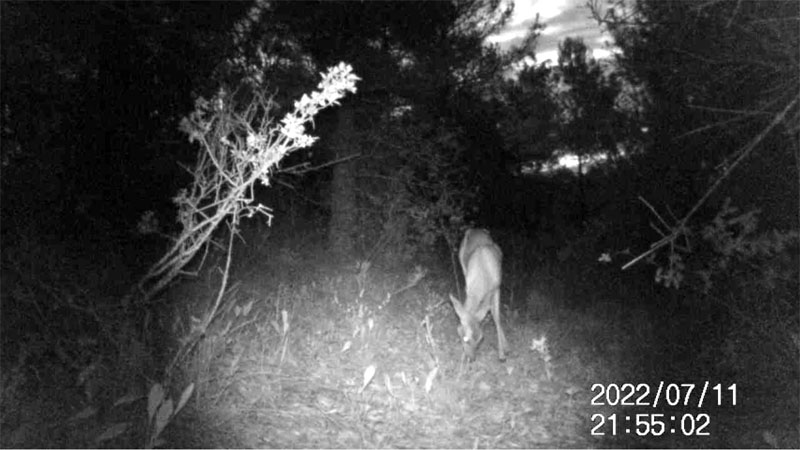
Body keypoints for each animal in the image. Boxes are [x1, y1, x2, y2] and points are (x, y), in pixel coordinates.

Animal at [446, 229, 510, 362]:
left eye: (481, 339)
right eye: (461, 335)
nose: (471, 358)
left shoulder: (497, 287)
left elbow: (496, 317)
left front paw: (502, 353)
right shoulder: (468, 286)